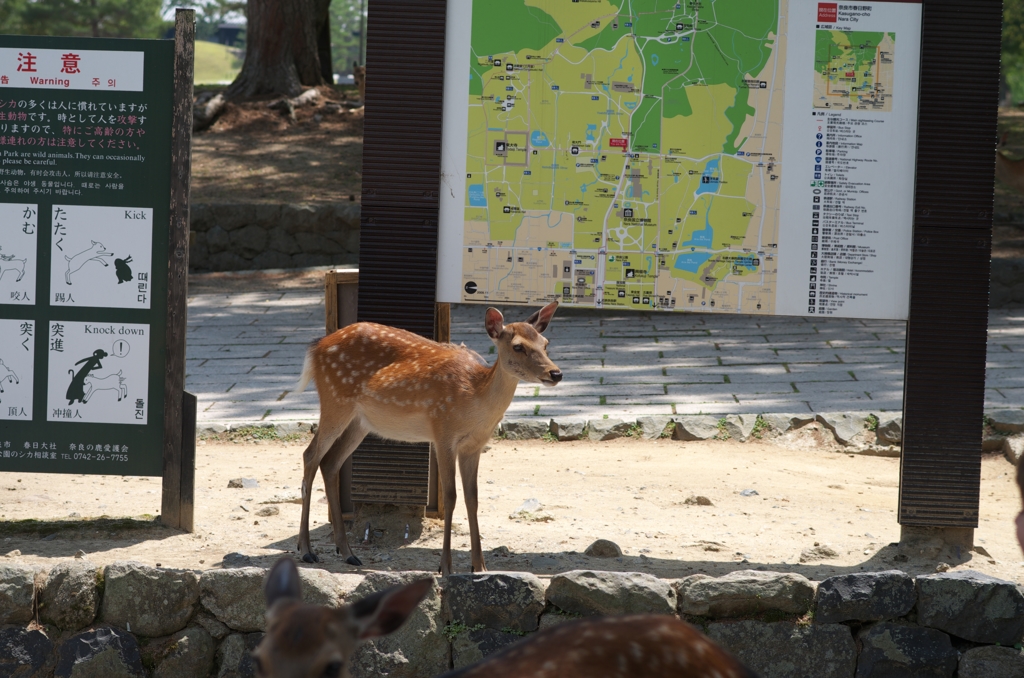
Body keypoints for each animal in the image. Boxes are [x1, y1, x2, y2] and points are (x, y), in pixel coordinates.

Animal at [292, 303, 565, 573]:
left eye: (545, 342)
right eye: (518, 346)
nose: (556, 373)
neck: (475, 395)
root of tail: (316, 347)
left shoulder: (474, 445)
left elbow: (473, 498)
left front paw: (480, 567)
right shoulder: (443, 432)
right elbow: (451, 496)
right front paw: (445, 567)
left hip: (359, 421)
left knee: (330, 462)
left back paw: (348, 553)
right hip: (335, 400)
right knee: (310, 455)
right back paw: (306, 550)